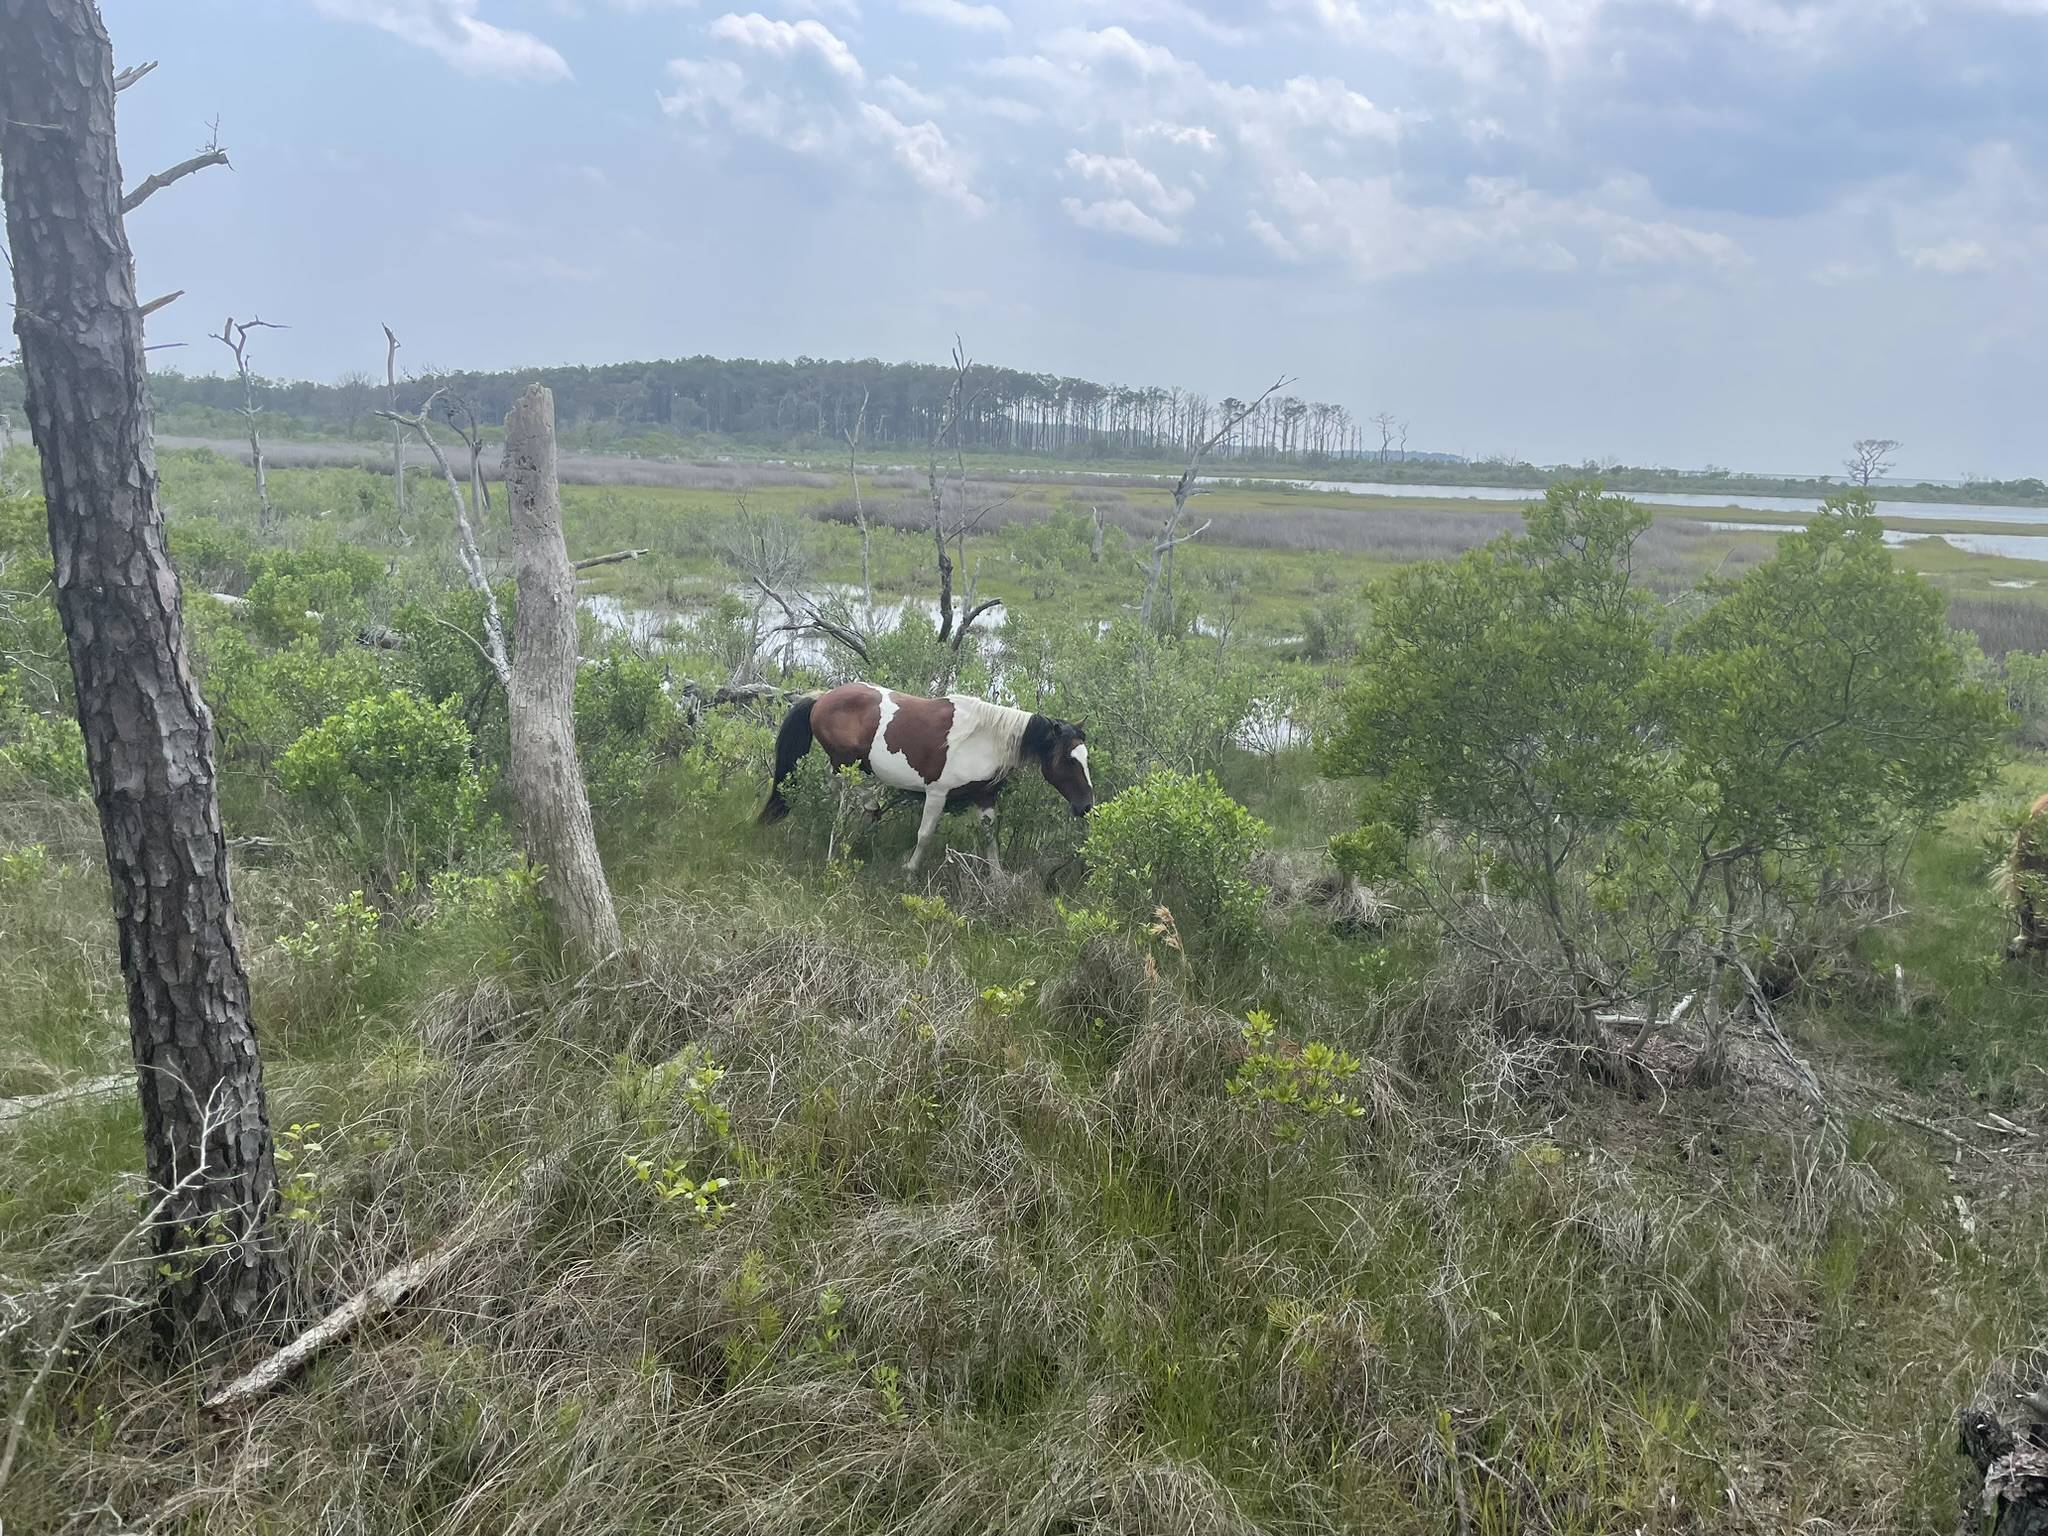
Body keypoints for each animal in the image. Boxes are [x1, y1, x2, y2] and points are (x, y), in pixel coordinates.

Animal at [757, 683, 1094, 872]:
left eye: (1086, 757)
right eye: (1069, 759)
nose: (1086, 806)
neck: (983, 738)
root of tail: (823, 697)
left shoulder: (985, 796)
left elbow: (990, 839)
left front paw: (997, 879)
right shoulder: (937, 793)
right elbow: (925, 834)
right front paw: (909, 869)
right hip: (845, 766)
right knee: (836, 798)